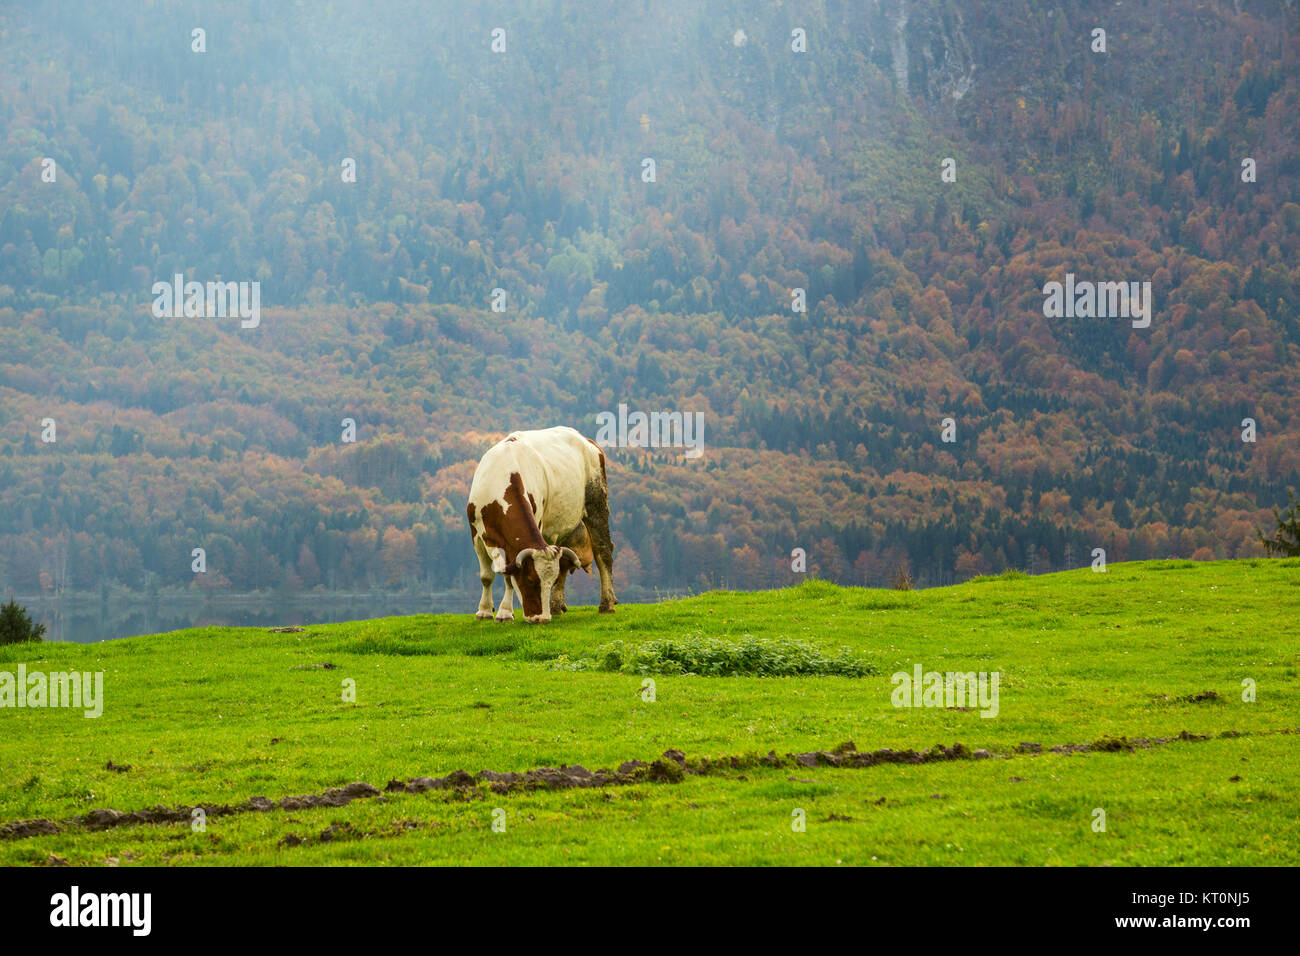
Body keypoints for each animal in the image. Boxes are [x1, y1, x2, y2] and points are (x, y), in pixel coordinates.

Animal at [466, 426, 616, 623]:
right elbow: (486, 576)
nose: (542, 618)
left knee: (603, 552)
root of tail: (587, 441)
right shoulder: (476, 534)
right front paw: (484, 611)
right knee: (566, 561)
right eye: (531, 580)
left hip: (597, 501)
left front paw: (505, 612)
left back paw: (607, 604)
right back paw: (556, 606)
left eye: (549, 583)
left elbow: (508, 578)